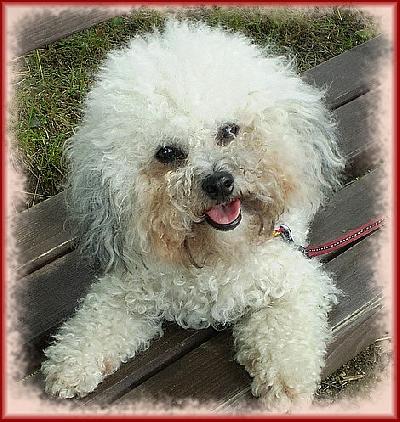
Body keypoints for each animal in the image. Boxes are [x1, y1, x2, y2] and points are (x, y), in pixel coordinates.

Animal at [41, 20, 344, 411]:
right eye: (168, 153)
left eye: (229, 131)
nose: (219, 182)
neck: (209, 255)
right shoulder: (127, 288)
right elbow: (95, 324)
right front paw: (70, 365)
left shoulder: (292, 282)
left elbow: (286, 334)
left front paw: (286, 386)